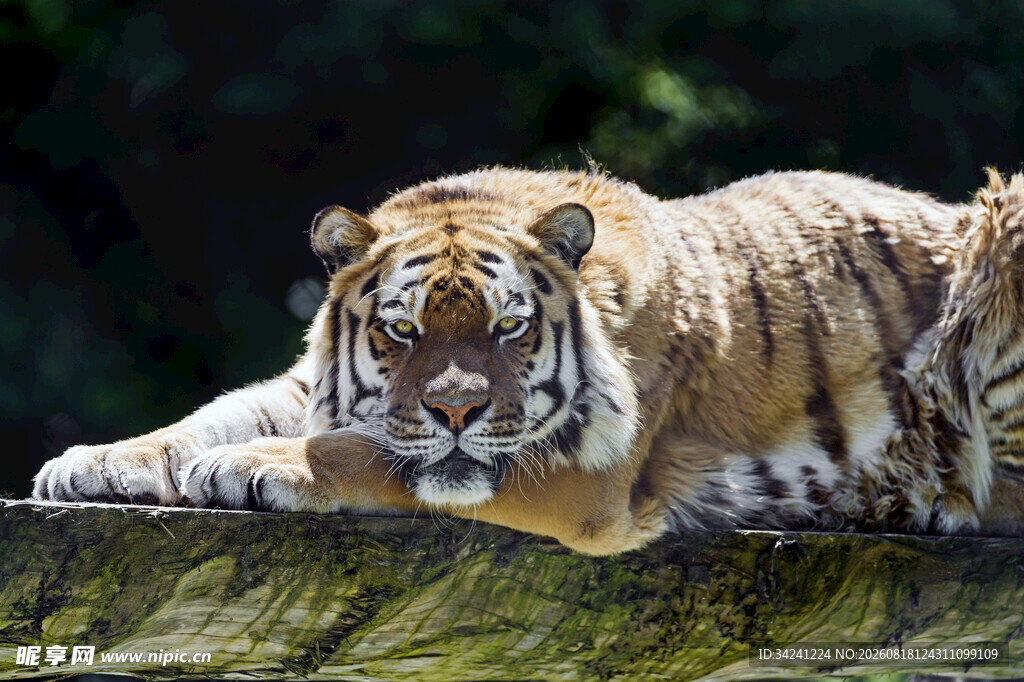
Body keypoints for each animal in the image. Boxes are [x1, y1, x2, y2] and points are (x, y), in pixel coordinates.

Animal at [32, 166, 1024, 554]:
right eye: (402, 331)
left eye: (509, 329)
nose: (457, 410)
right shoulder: (318, 385)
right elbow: (218, 413)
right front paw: (93, 462)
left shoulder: (589, 475)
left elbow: (370, 454)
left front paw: (249, 465)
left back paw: (933, 495)